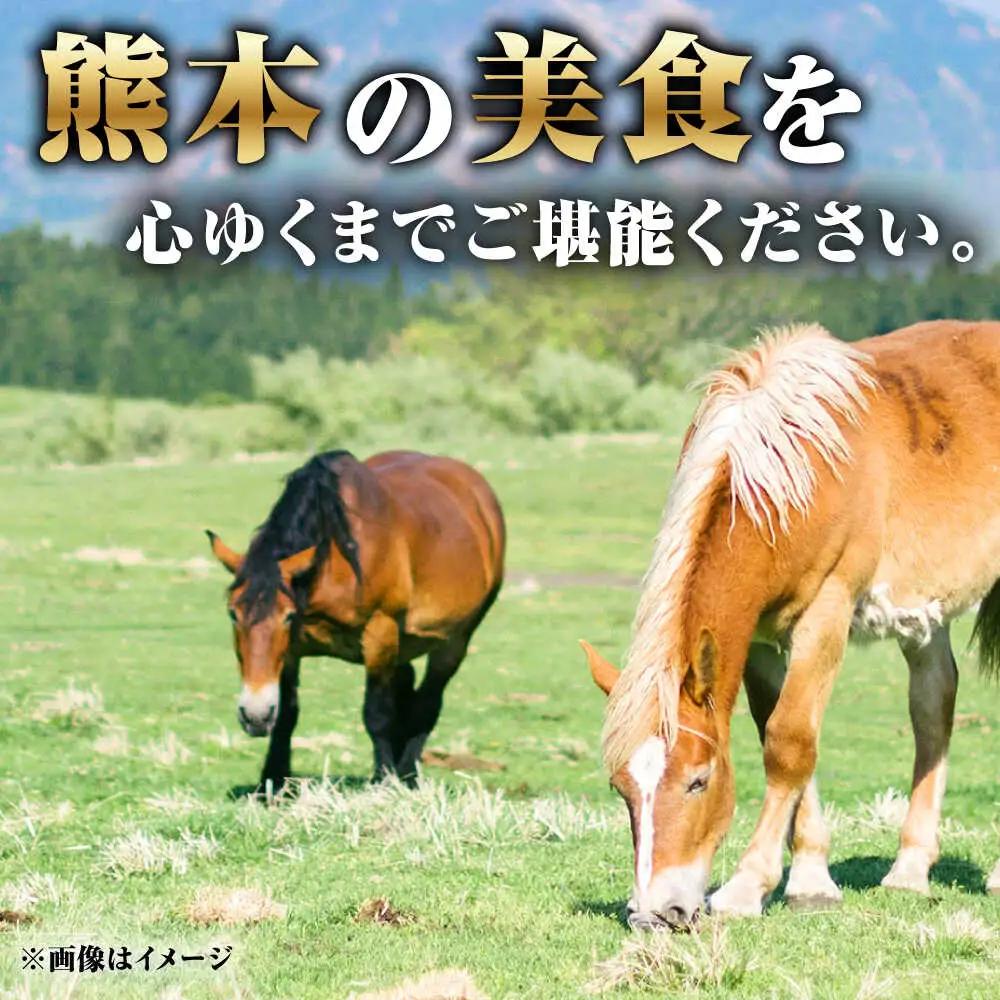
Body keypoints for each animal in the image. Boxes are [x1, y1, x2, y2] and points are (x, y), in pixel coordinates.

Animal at [207, 449, 505, 790]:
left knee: (428, 703)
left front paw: (384, 779)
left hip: (454, 641)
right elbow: (286, 716)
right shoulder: (291, 652)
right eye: (233, 613)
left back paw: (407, 774)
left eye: (288, 616)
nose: (254, 716)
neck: (332, 562)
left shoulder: (380, 631)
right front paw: (272, 782)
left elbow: (376, 714)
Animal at [580, 320, 1000, 930]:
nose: (655, 914)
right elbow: (775, 733)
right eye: (621, 788)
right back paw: (909, 869)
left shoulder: (826, 610)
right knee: (932, 707)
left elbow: (790, 742)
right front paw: (810, 880)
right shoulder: (759, 636)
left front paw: (745, 887)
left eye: (699, 779)